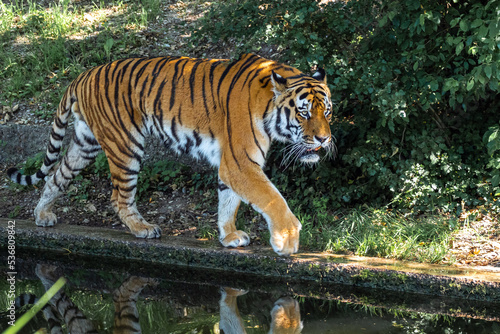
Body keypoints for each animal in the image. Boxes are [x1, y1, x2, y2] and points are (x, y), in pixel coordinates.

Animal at [6, 52, 332, 256]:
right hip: (126, 145)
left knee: (57, 175)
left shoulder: (230, 165)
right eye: (303, 113)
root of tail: (82, 75)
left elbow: (228, 201)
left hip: (86, 144)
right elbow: (272, 198)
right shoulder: (241, 162)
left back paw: (42, 215)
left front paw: (228, 236)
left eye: (327, 111)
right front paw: (287, 238)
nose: (324, 138)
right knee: (119, 197)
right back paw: (143, 229)